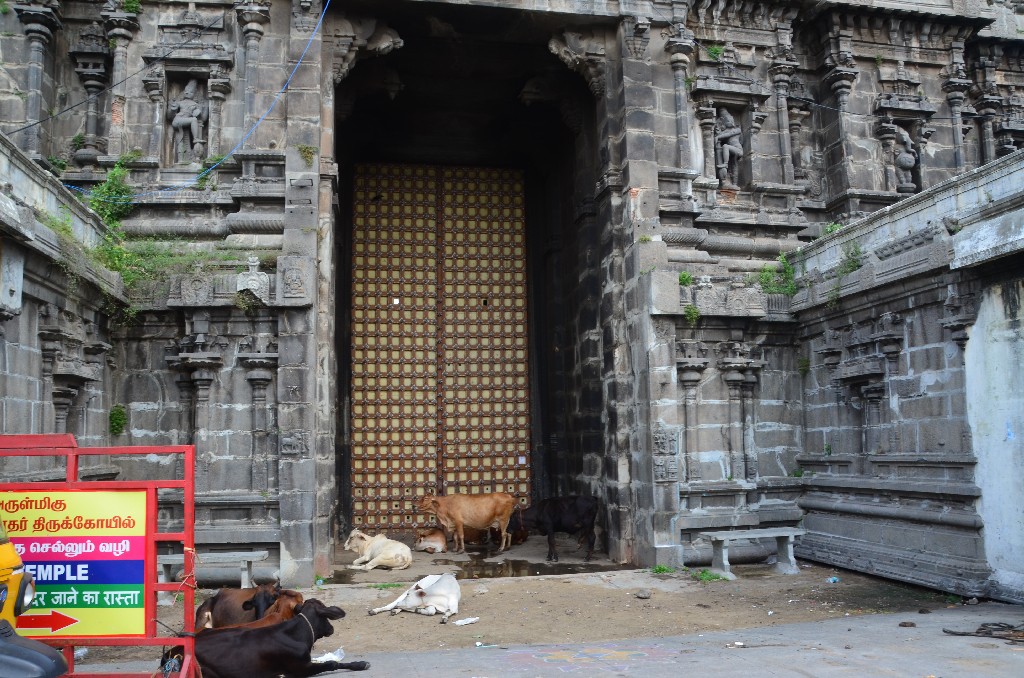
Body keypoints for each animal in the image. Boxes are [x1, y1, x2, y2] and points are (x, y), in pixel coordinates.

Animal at [169, 602, 370, 678]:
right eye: (325, 614)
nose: (332, 628)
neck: (297, 634)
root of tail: (173, 651)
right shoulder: (301, 668)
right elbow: (331, 664)